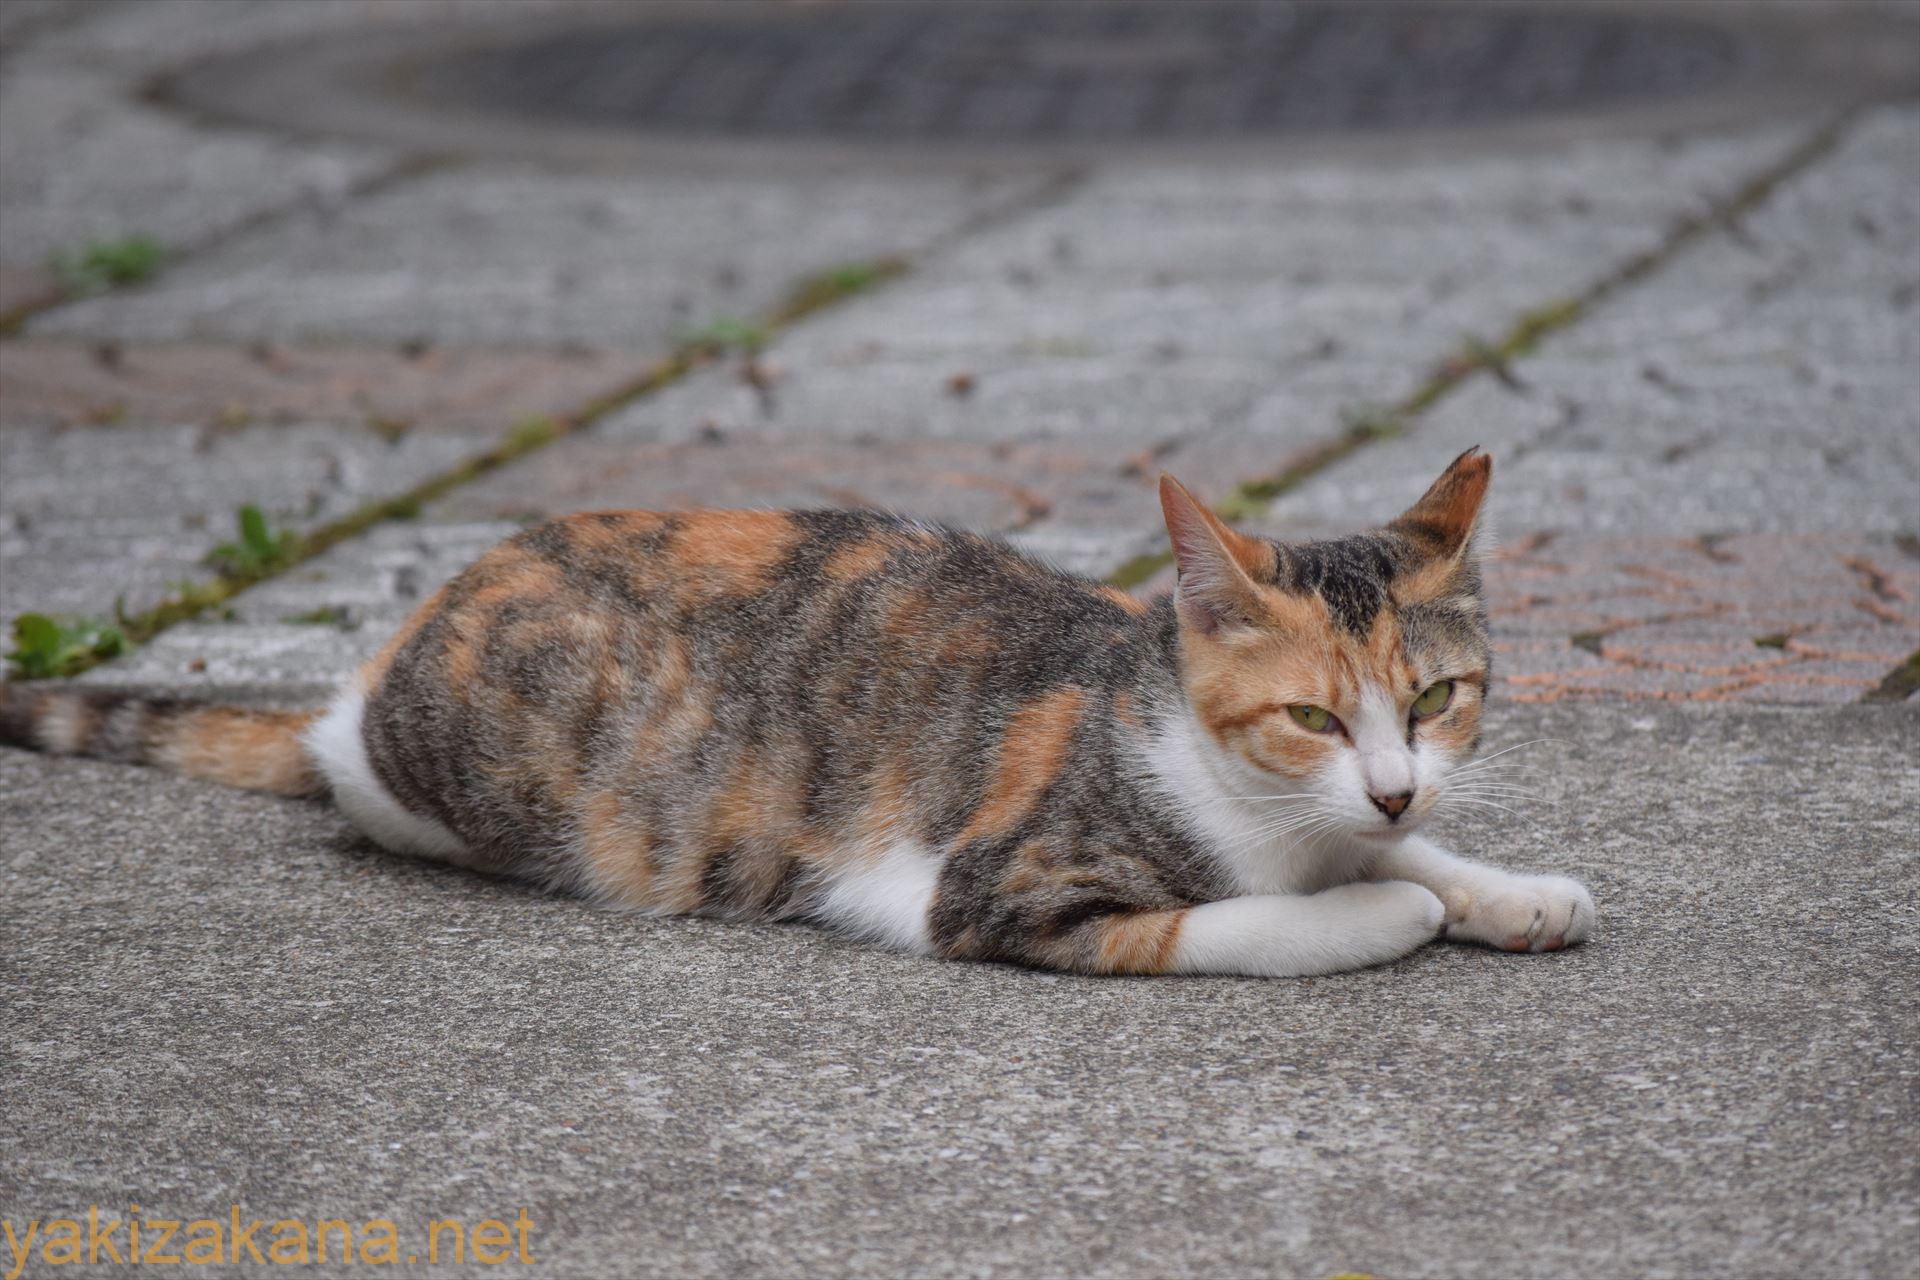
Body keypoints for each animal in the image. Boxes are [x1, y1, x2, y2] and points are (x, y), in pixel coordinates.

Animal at [1, 448, 1593, 976]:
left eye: (1435, 697)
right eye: (1312, 718)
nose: (1388, 782)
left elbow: (1414, 852)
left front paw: (1499, 886)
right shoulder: (1004, 887)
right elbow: (1255, 916)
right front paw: (1390, 907)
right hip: (482, 754)